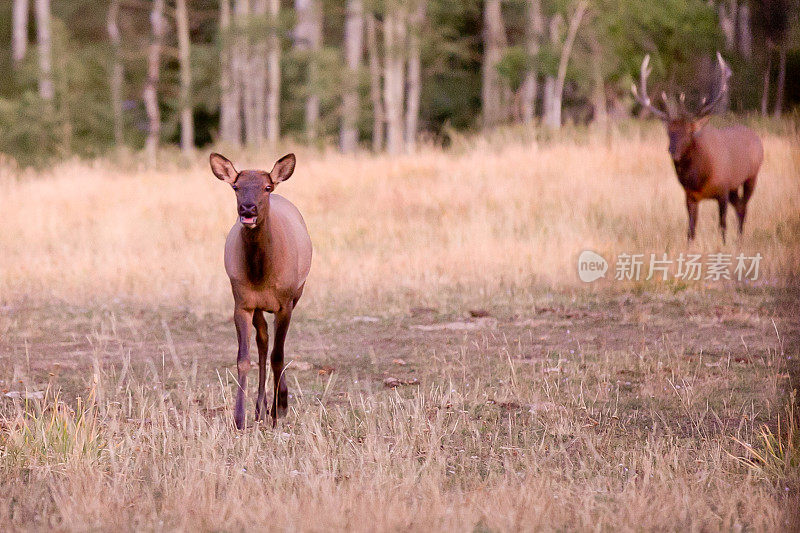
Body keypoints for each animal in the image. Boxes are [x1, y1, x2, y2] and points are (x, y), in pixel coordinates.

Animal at [209, 153, 312, 428]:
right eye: (236, 187)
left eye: (266, 187)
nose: (247, 209)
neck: (261, 274)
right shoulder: (242, 302)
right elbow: (244, 358)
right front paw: (239, 418)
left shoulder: (285, 303)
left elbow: (279, 356)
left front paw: (279, 409)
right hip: (257, 307)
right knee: (263, 341)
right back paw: (259, 409)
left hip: (297, 293)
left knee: (273, 348)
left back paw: (275, 405)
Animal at [632, 52, 764, 241]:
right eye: (669, 132)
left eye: (689, 132)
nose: (672, 151)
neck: (699, 179)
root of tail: (756, 136)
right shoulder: (690, 196)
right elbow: (691, 230)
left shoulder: (723, 190)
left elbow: (722, 226)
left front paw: (723, 245)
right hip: (734, 187)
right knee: (739, 206)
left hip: (751, 176)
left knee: (743, 208)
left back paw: (740, 240)